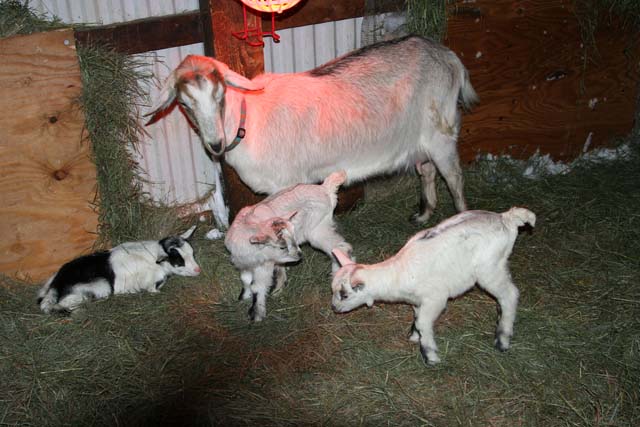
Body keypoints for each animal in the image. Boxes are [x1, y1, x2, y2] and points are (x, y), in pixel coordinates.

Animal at [37, 226, 201, 314]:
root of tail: (56, 284)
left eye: (192, 254)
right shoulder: (151, 282)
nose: (198, 270)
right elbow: (153, 289)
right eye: (179, 260)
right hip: (100, 286)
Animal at [146, 35, 478, 224]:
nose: (215, 144)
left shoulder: (286, 183)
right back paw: (423, 214)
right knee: (427, 170)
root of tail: (449, 57)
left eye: (220, 95)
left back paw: (463, 219)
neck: (247, 121)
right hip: (420, 138)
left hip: (442, 131)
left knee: (454, 177)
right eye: (184, 104)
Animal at [225, 171, 352, 321]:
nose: (300, 255)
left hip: (317, 228)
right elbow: (245, 279)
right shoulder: (244, 263)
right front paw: (244, 296)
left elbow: (258, 286)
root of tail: (324, 188)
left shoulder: (264, 266)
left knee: (340, 247)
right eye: (282, 247)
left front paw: (257, 314)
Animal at [330, 208, 536, 364]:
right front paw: (415, 337)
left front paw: (430, 355)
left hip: (489, 269)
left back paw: (502, 339)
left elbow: (423, 322)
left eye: (345, 295)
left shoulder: (436, 298)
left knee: (510, 294)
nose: (334, 308)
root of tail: (506, 218)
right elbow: (417, 317)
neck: (396, 274)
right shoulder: (418, 301)